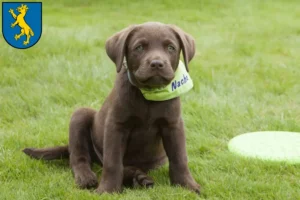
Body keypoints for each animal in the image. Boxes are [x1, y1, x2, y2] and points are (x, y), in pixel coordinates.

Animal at [23, 21, 200, 194]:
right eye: (139, 47)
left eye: (170, 48)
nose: (157, 64)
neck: (148, 95)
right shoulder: (116, 126)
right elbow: (113, 162)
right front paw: (108, 190)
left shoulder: (173, 125)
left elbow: (179, 158)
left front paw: (187, 185)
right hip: (80, 115)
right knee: (79, 157)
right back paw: (87, 177)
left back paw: (139, 178)